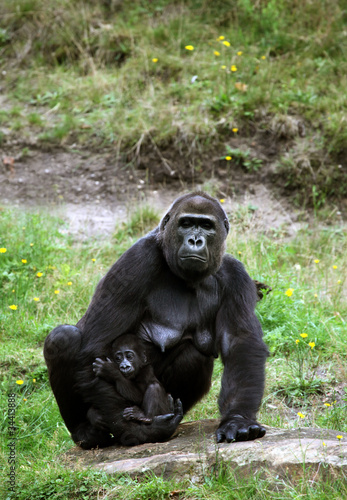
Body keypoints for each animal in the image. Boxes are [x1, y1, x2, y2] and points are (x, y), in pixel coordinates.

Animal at [44, 191, 270, 450]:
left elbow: (240, 343)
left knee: (193, 356)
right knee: (64, 337)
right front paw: (141, 433)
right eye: (185, 223)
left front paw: (237, 419)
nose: (195, 240)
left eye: (206, 226)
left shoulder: (235, 276)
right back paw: (87, 431)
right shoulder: (137, 260)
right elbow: (93, 347)